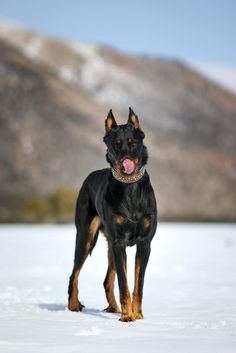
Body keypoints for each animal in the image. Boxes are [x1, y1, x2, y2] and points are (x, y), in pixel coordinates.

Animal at [68, 108, 157, 322]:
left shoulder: (144, 244)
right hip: (85, 237)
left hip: (109, 247)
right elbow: (124, 284)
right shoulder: (119, 243)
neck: (130, 187)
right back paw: (74, 305)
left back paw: (114, 307)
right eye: (116, 144)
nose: (125, 159)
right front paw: (127, 317)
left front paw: (137, 313)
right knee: (74, 273)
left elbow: (138, 285)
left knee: (107, 280)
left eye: (133, 143)